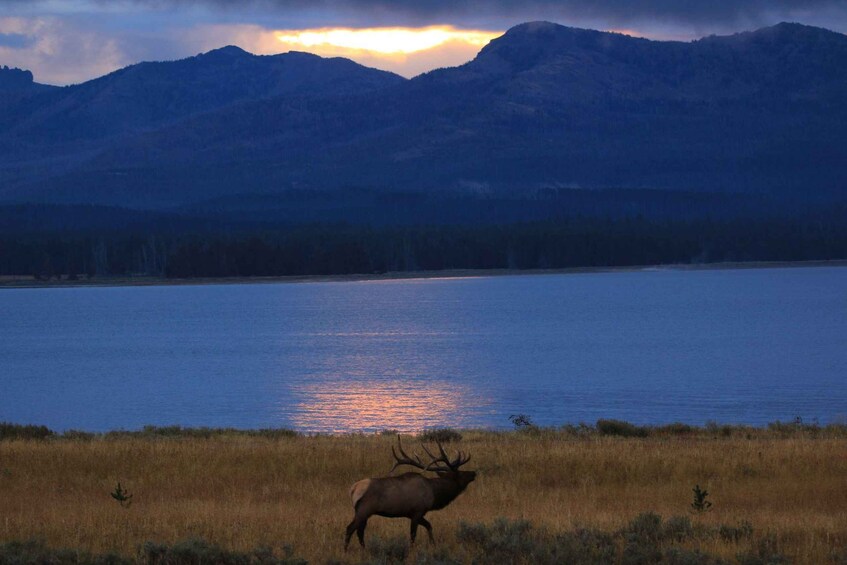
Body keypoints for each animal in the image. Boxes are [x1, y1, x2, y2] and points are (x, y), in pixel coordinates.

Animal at [344, 435, 476, 550]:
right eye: (461, 473)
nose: (473, 473)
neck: (434, 493)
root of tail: (353, 489)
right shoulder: (417, 511)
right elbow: (413, 535)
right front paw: (413, 549)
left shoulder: (413, 514)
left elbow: (429, 526)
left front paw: (433, 544)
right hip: (364, 510)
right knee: (350, 528)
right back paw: (346, 550)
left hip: (362, 512)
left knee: (360, 531)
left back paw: (363, 549)